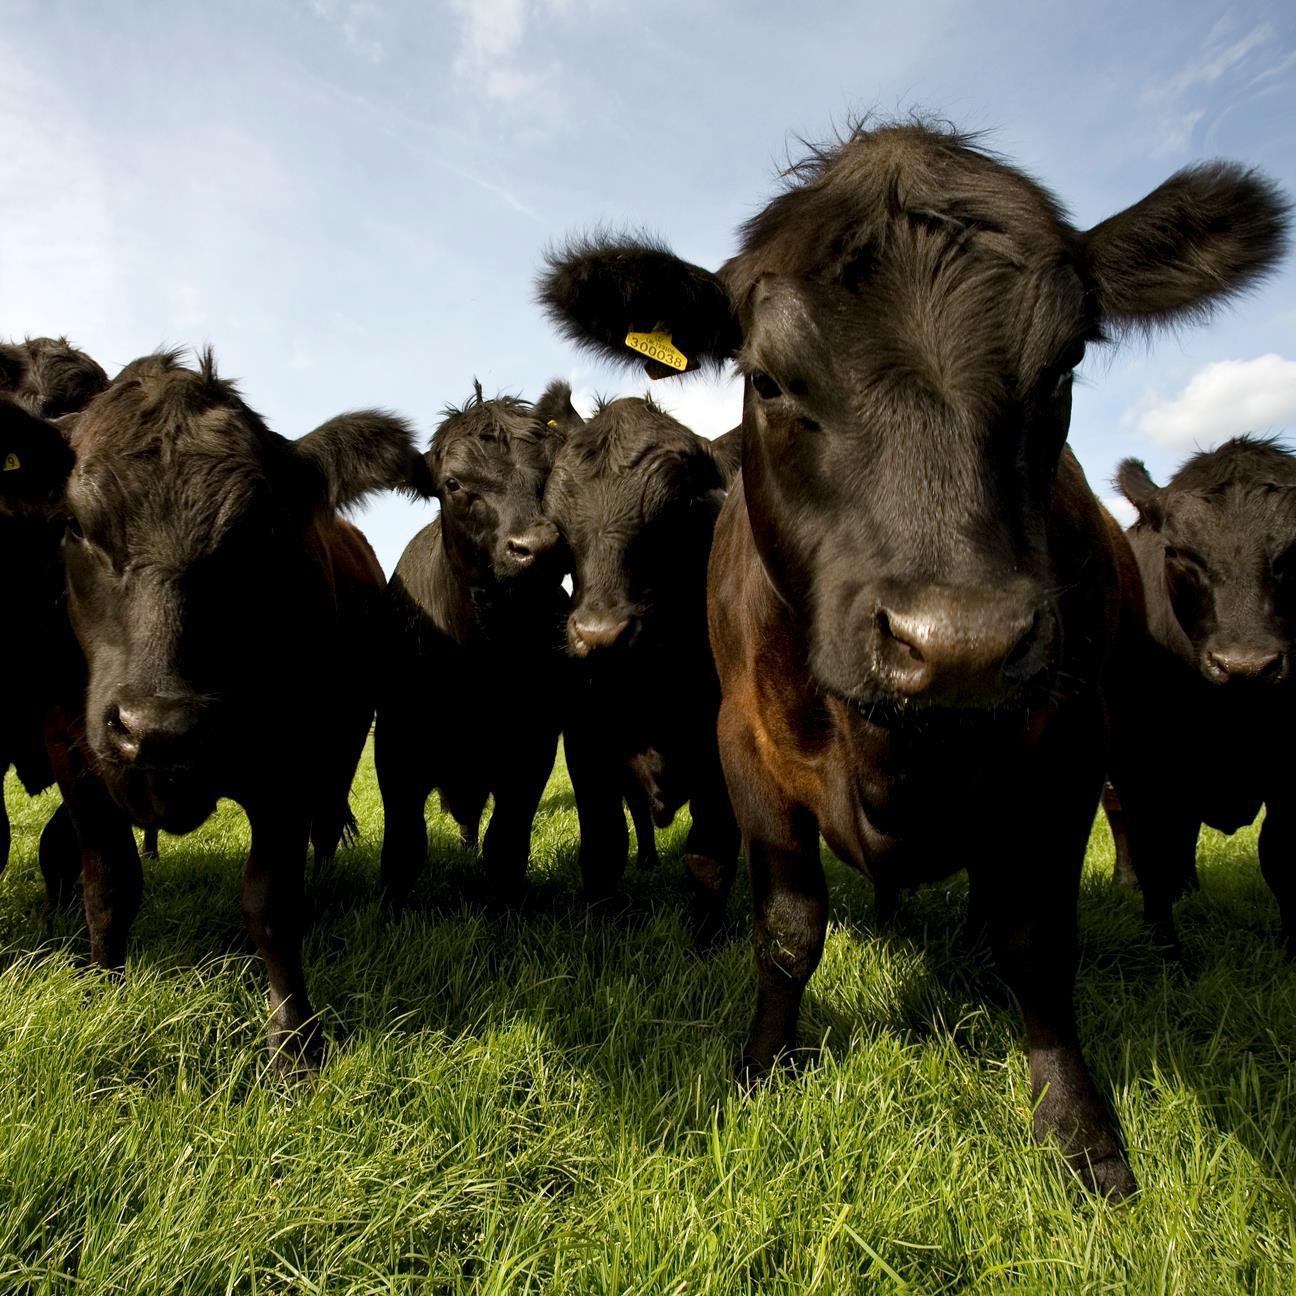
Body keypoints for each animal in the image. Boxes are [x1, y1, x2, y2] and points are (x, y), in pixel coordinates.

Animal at [55, 352, 430, 1073]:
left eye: (261, 538)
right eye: (77, 526)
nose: (159, 728)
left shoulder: (289, 763)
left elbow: (270, 903)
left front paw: (295, 1043)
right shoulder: (74, 758)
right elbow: (108, 885)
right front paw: (103, 993)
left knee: (325, 827)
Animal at [378, 388, 572, 907]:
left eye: (553, 472)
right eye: (454, 483)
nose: (537, 547)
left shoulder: (532, 751)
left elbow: (506, 845)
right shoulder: (396, 746)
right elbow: (404, 845)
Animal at [539, 381, 741, 933]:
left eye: (679, 510)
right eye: (558, 523)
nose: (599, 633)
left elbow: (711, 855)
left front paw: (706, 936)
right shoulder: (585, 748)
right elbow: (604, 845)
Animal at [1104, 435, 1296, 953]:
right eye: (1176, 552)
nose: (1245, 665)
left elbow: (1279, 852)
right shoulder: (1140, 763)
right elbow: (1152, 847)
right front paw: (1162, 950)